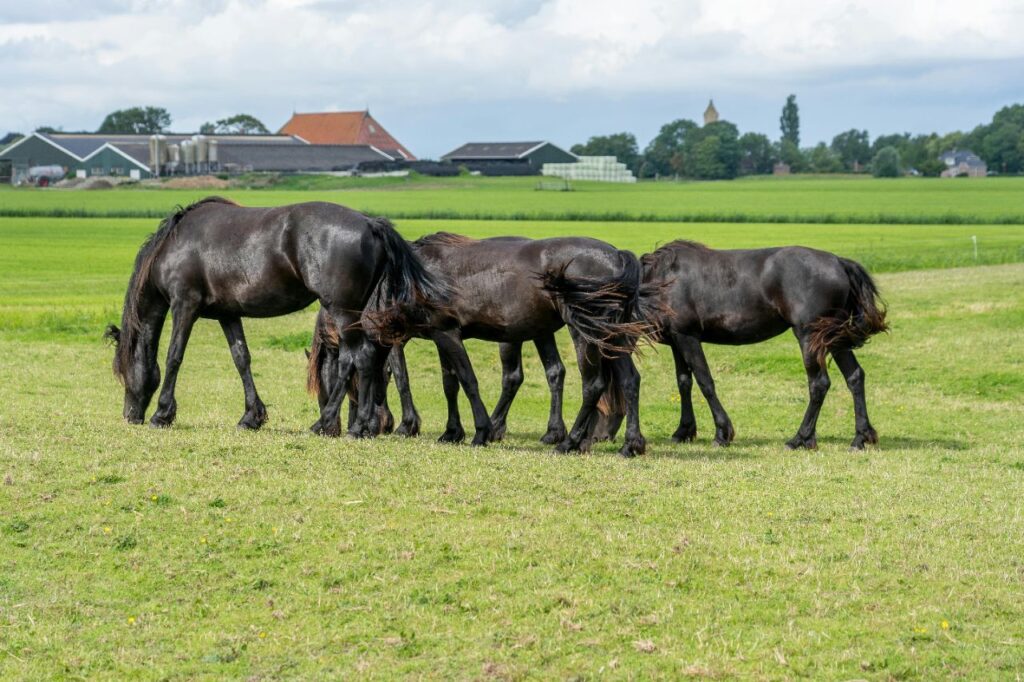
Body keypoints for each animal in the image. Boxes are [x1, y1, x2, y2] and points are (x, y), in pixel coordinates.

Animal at [103, 197, 448, 437]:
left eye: (122, 373)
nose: (129, 415)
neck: (174, 244)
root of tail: (371, 224)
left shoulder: (183, 306)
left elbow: (174, 356)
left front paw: (162, 414)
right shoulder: (228, 314)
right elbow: (241, 359)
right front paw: (251, 417)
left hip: (342, 311)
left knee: (358, 358)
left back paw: (343, 425)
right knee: (366, 360)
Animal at [309, 232, 653, 456]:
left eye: (332, 382)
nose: (330, 426)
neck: (411, 279)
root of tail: (617, 256)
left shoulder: (447, 334)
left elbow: (467, 380)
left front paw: (481, 432)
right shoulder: (439, 337)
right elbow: (450, 384)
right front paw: (452, 432)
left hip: (585, 332)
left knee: (593, 384)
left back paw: (570, 442)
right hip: (611, 335)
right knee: (629, 380)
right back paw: (630, 445)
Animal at [637, 241, 888, 450]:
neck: (662, 280)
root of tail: (839, 262)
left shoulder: (687, 337)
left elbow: (705, 382)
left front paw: (722, 433)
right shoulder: (677, 341)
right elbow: (684, 383)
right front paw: (683, 431)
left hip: (809, 336)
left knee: (819, 383)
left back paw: (800, 438)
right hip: (834, 338)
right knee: (854, 377)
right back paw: (860, 437)